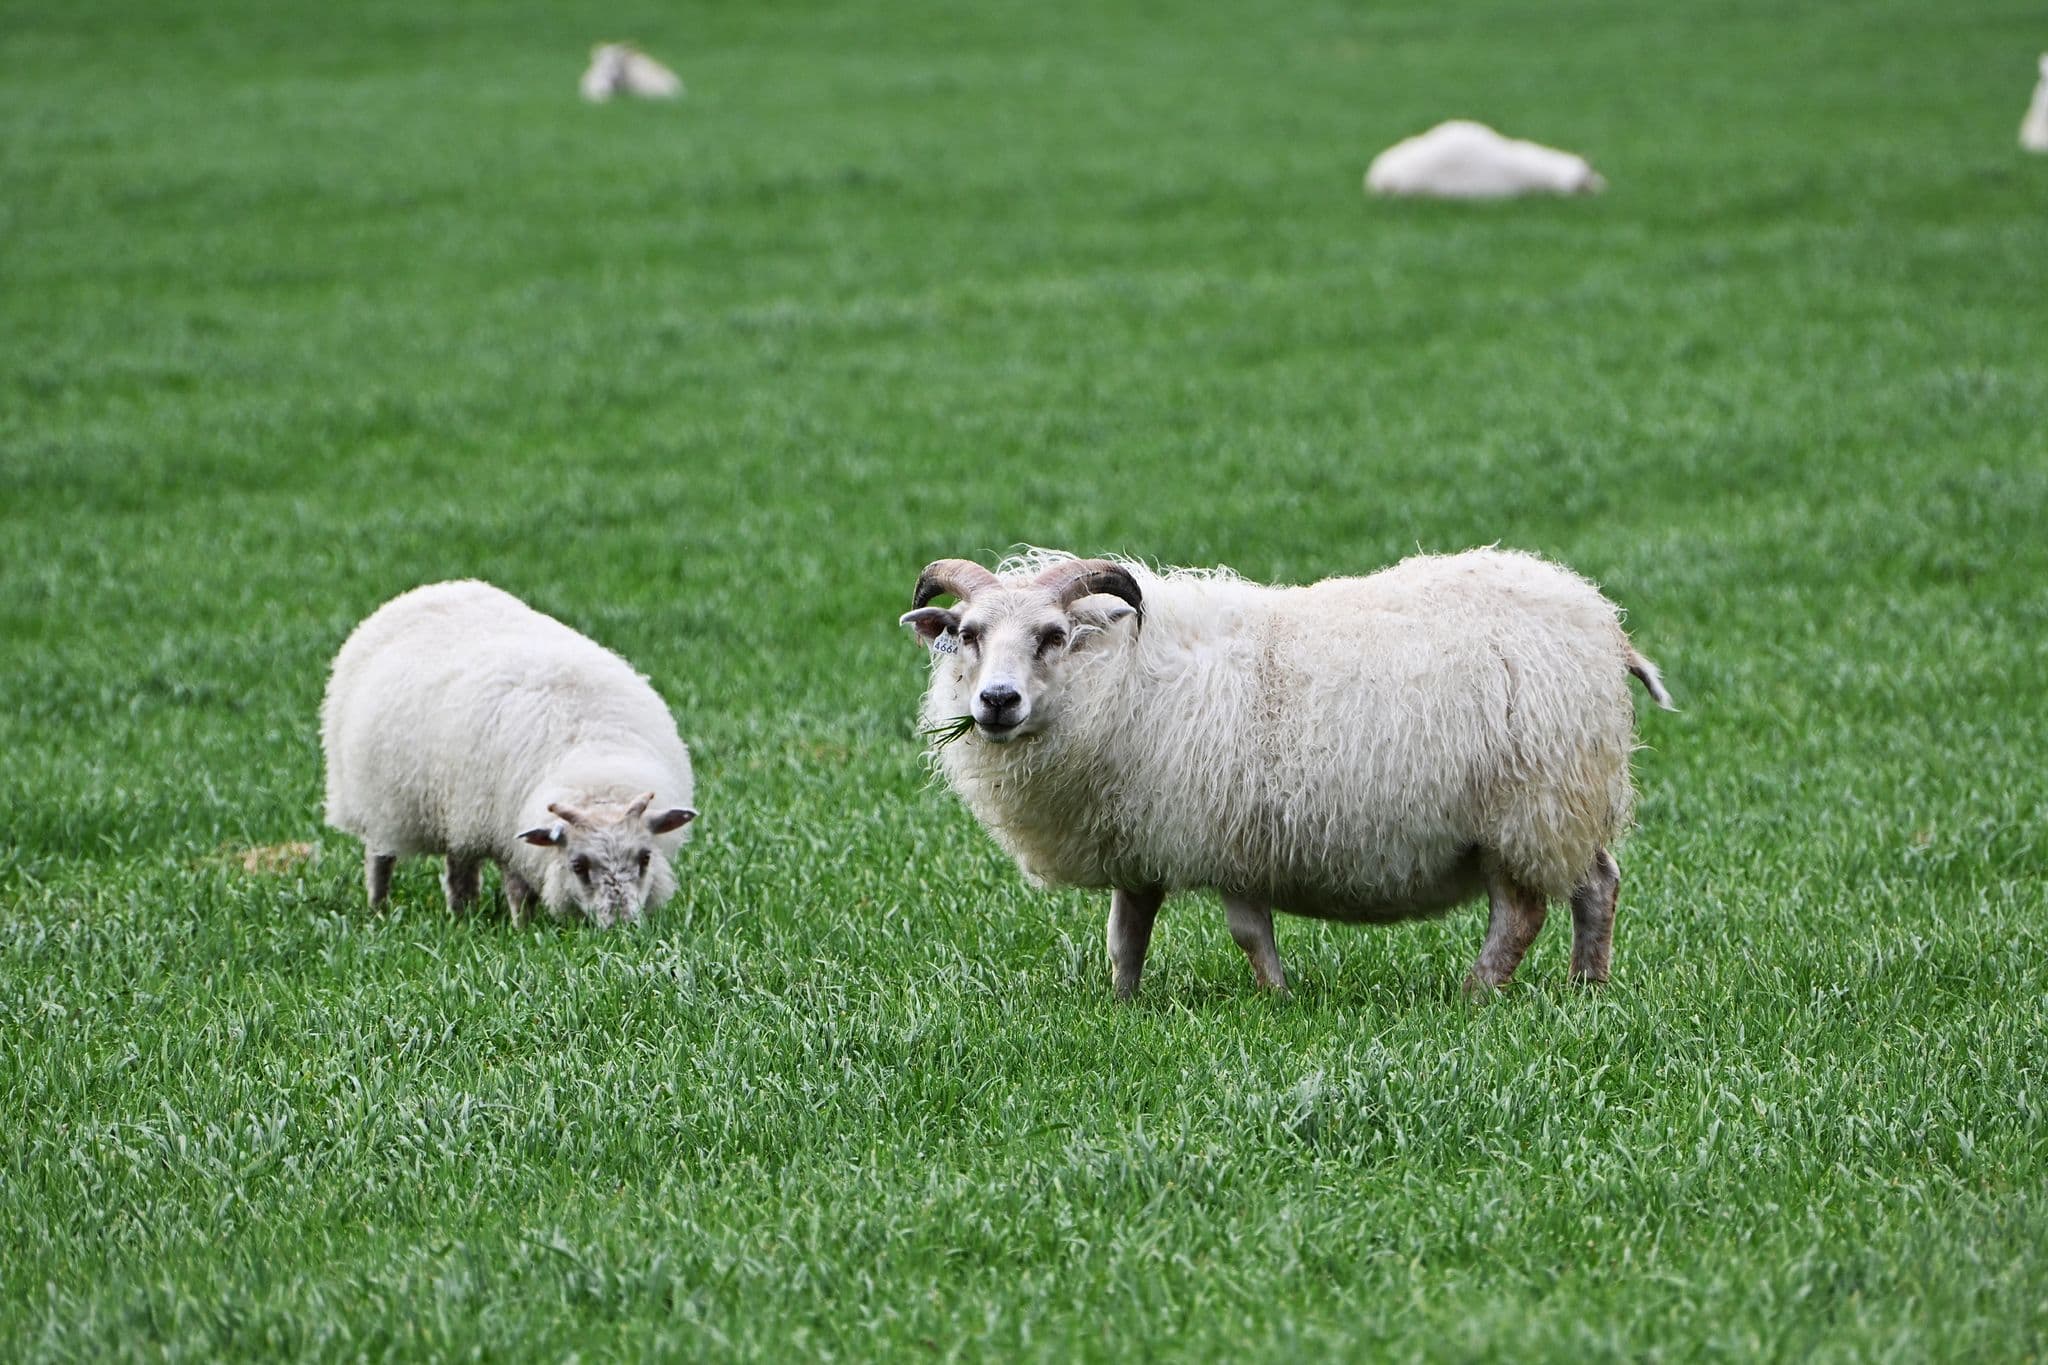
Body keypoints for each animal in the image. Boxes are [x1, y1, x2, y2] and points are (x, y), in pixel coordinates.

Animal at [322, 581, 696, 928]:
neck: (594, 757)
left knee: (459, 865)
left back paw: (462, 914)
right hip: (376, 800)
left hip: (460, 806)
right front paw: (521, 928)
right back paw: (378, 907)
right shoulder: (506, 833)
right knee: (379, 857)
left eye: (645, 858)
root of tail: (435, 589)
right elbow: (518, 890)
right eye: (578, 865)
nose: (621, 927)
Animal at [899, 548, 1672, 998]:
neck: (1119, 674)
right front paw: (1122, 1006)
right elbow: (1127, 932)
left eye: (1053, 635)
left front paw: (1277, 999)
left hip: (1527, 803)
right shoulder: (1140, 833)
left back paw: (1475, 994)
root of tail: (1601, 623)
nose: (997, 702)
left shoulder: (1226, 836)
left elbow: (1248, 933)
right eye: (966, 634)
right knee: (1598, 883)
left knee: (1521, 914)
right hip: (1560, 805)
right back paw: (1588, 989)